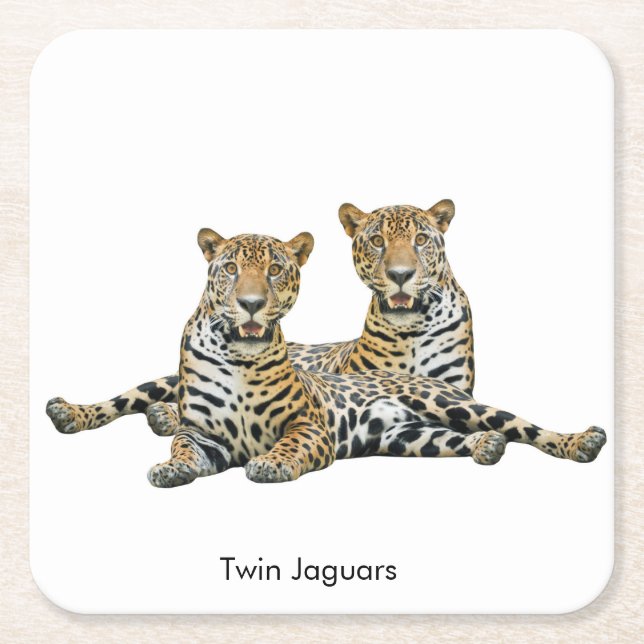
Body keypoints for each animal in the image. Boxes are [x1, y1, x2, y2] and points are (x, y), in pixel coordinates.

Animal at [46, 199, 474, 437]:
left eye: (421, 240)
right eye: (377, 241)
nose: (401, 275)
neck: (410, 328)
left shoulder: (455, 389)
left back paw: (161, 417)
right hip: (163, 381)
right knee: (129, 398)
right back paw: (73, 413)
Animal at [46, 230, 606, 486]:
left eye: (275, 270)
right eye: (230, 269)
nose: (251, 304)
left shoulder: (308, 426)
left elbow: (290, 446)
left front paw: (270, 464)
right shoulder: (203, 435)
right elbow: (183, 446)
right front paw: (169, 468)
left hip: (450, 403)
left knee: (521, 425)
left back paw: (582, 441)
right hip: (411, 437)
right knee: (133, 398)